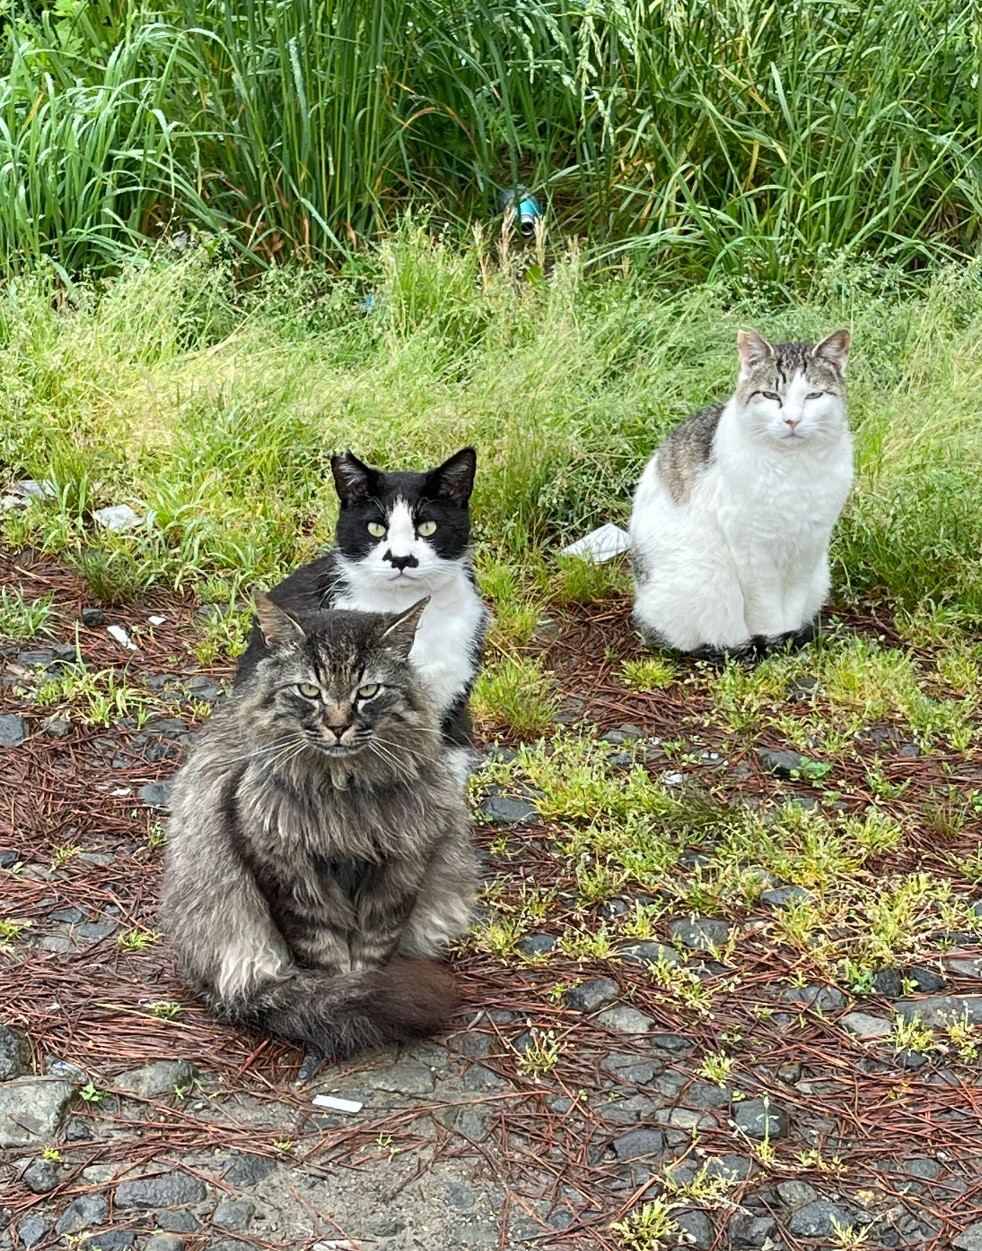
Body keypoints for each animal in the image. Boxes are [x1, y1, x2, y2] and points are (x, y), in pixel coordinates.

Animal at [161, 592, 475, 1055]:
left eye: (368, 691)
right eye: (309, 690)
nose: (339, 725)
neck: (343, 792)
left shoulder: (401, 864)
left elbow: (375, 945)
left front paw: (362, 989)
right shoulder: (284, 869)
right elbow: (323, 952)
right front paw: (344, 997)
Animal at [627, 327, 850, 660]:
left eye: (813, 396)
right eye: (771, 396)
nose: (792, 420)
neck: (795, 466)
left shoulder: (809, 545)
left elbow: (793, 604)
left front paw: (790, 640)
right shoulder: (752, 550)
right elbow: (767, 613)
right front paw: (779, 645)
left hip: (820, 574)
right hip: (705, 579)